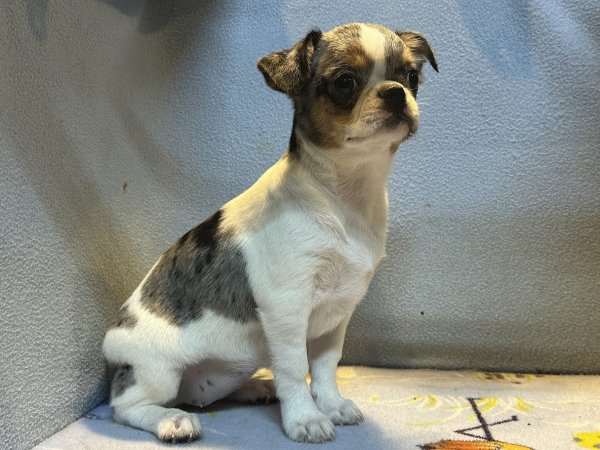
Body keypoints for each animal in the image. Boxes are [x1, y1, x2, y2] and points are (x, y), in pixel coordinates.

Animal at [103, 22, 437, 444]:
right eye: (345, 82)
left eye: (411, 76)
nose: (395, 92)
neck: (345, 197)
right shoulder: (287, 309)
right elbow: (294, 369)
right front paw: (305, 418)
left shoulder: (336, 315)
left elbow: (325, 366)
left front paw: (331, 405)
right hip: (157, 372)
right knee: (126, 407)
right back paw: (171, 420)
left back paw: (254, 387)